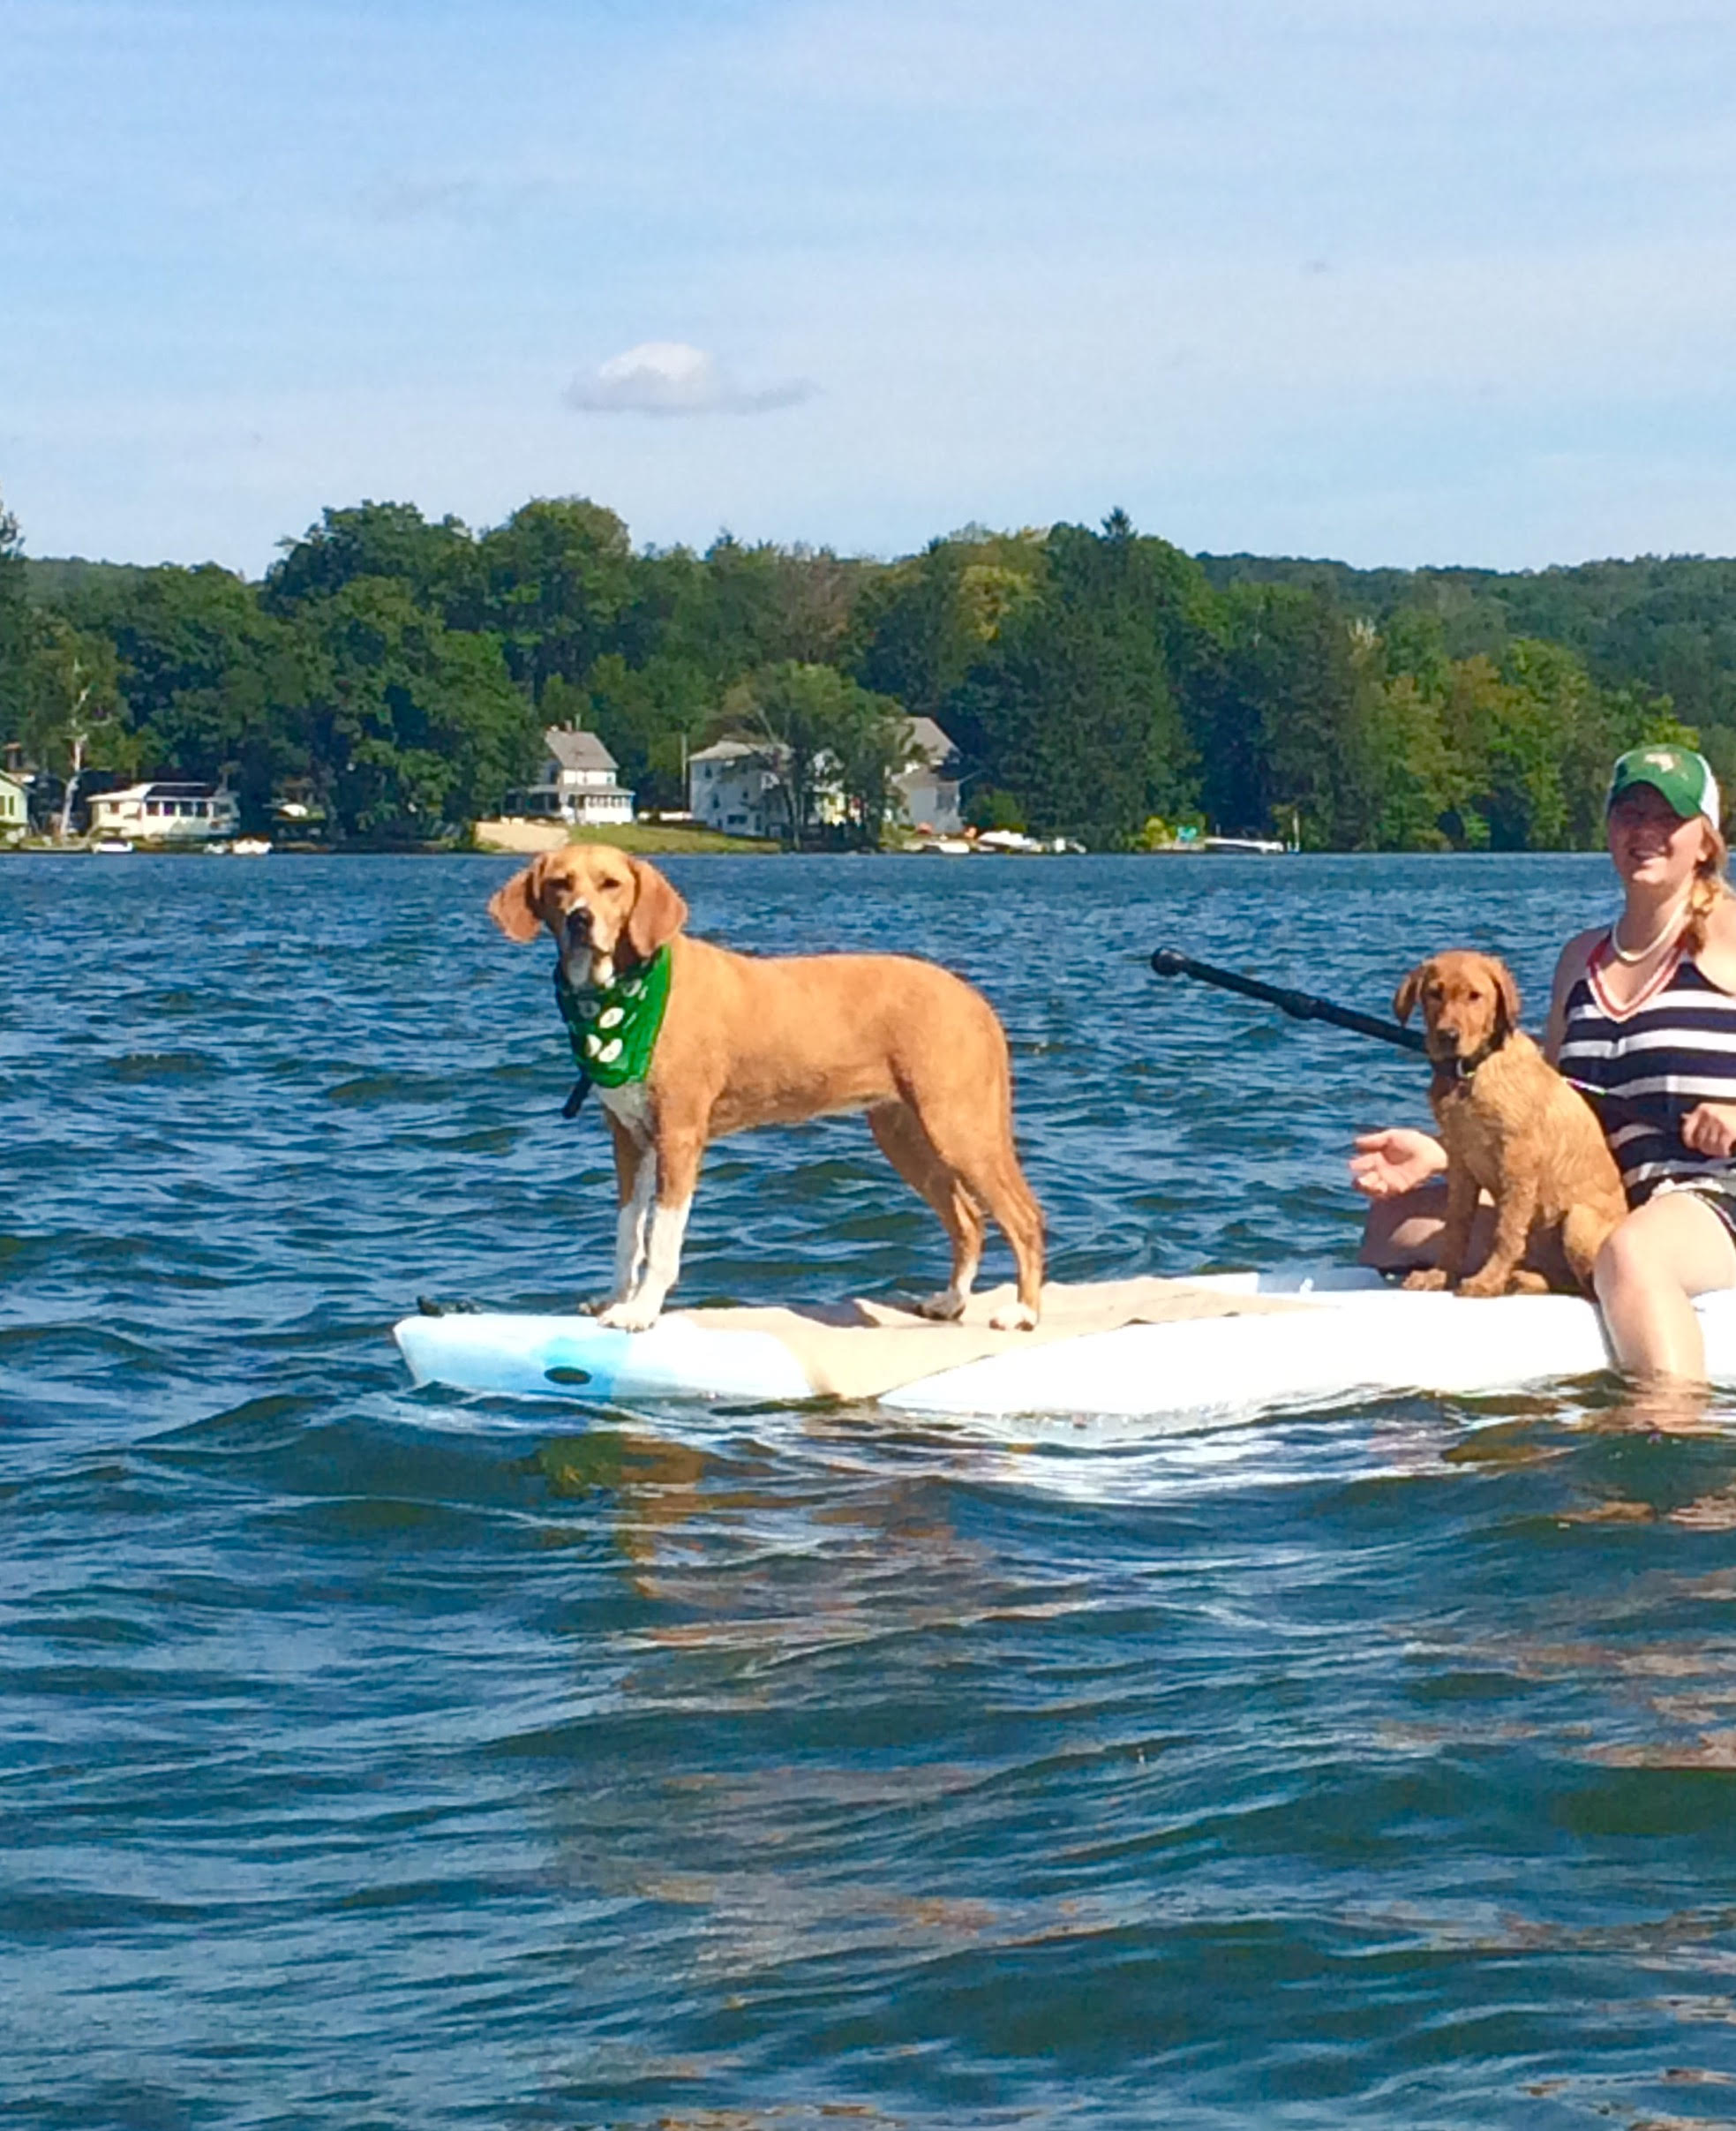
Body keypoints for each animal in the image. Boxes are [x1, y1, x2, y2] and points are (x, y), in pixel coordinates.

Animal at [481, 843, 1043, 1329]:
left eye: (611, 885)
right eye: (560, 884)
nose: (581, 919)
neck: (624, 996)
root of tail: (972, 999)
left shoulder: (679, 1136)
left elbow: (661, 1240)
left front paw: (640, 1311)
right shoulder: (630, 1138)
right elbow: (628, 1233)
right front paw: (617, 1299)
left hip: (960, 1127)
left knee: (1024, 1217)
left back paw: (1024, 1312)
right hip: (904, 1134)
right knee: (968, 1220)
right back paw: (951, 1301)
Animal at [1388, 954, 1627, 1295]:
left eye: (1475, 996)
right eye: (1434, 993)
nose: (1448, 1036)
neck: (1471, 1072)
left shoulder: (1518, 1160)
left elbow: (1507, 1231)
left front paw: (1487, 1280)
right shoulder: (1460, 1161)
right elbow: (1456, 1225)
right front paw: (1440, 1274)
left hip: (1579, 1221)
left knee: (1589, 1286)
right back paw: (1525, 1279)